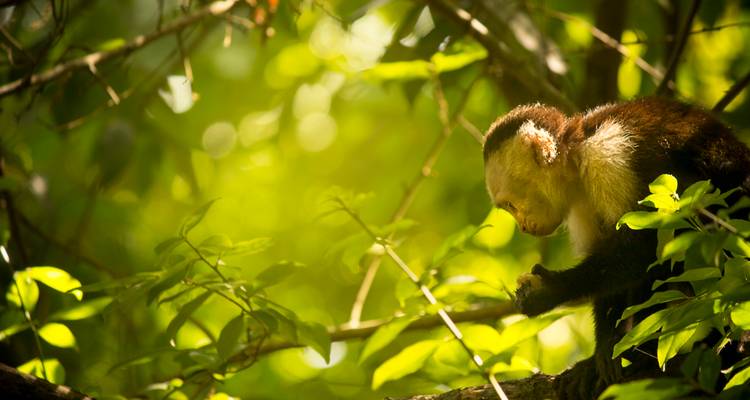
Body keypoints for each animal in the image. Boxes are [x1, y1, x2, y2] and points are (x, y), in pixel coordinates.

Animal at [482, 97, 750, 399]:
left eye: (510, 205)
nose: (524, 227)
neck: (577, 152)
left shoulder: (609, 156)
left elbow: (644, 248)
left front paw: (551, 290)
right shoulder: (579, 200)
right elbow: (609, 277)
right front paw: (599, 356)